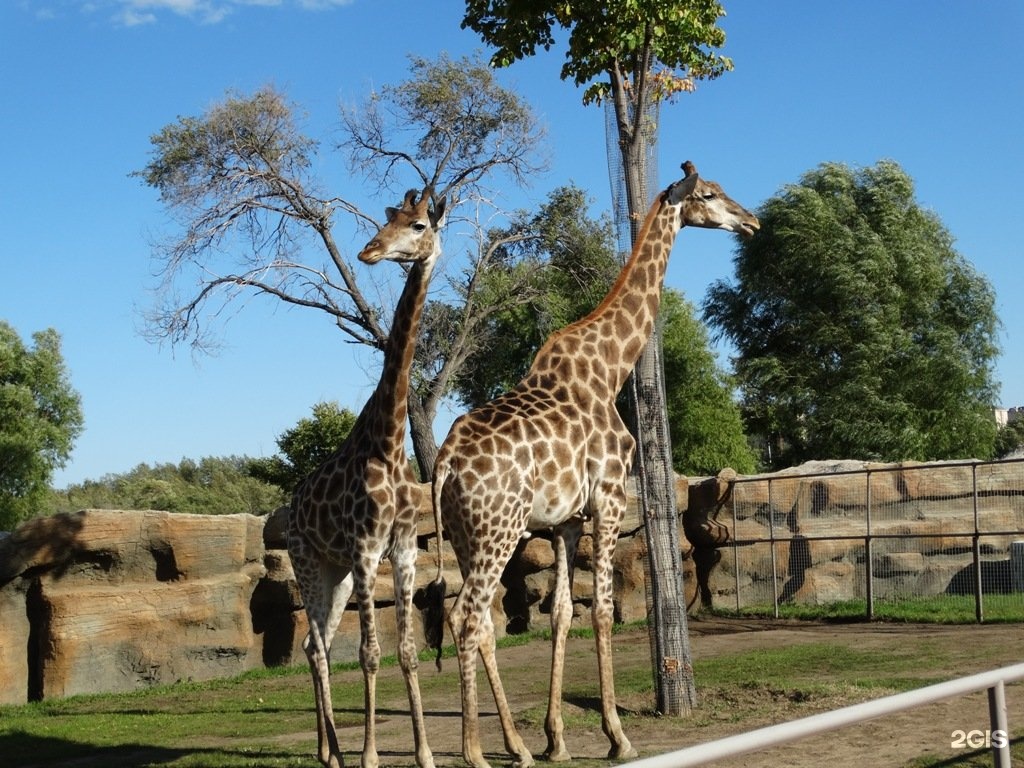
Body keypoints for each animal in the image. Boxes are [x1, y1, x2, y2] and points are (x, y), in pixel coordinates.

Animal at [290, 186, 446, 768]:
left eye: (419, 225)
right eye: (390, 219)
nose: (370, 251)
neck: (390, 439)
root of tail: (289, 510)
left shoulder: (401, 547)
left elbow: (406, 651)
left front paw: (424, 753)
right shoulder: (364, 547)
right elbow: (369, 653)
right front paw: (371, 755)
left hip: (334, 574)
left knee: (312, 645)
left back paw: (325, 748)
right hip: (309, 563)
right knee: (318, 648)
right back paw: (337, 751)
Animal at [425, 162, 761, 768]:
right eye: (709, 195)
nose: (751, 222)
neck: (610, 368)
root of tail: (444, 463)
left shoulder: (564, 522)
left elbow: (561, 612)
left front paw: (555, 739)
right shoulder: (607, 500)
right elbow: (603, 609)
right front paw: (616, 736)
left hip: (467, 537)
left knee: (481, 622)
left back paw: (517, 747)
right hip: (498, 530)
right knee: (466, 617)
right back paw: (476, 752)